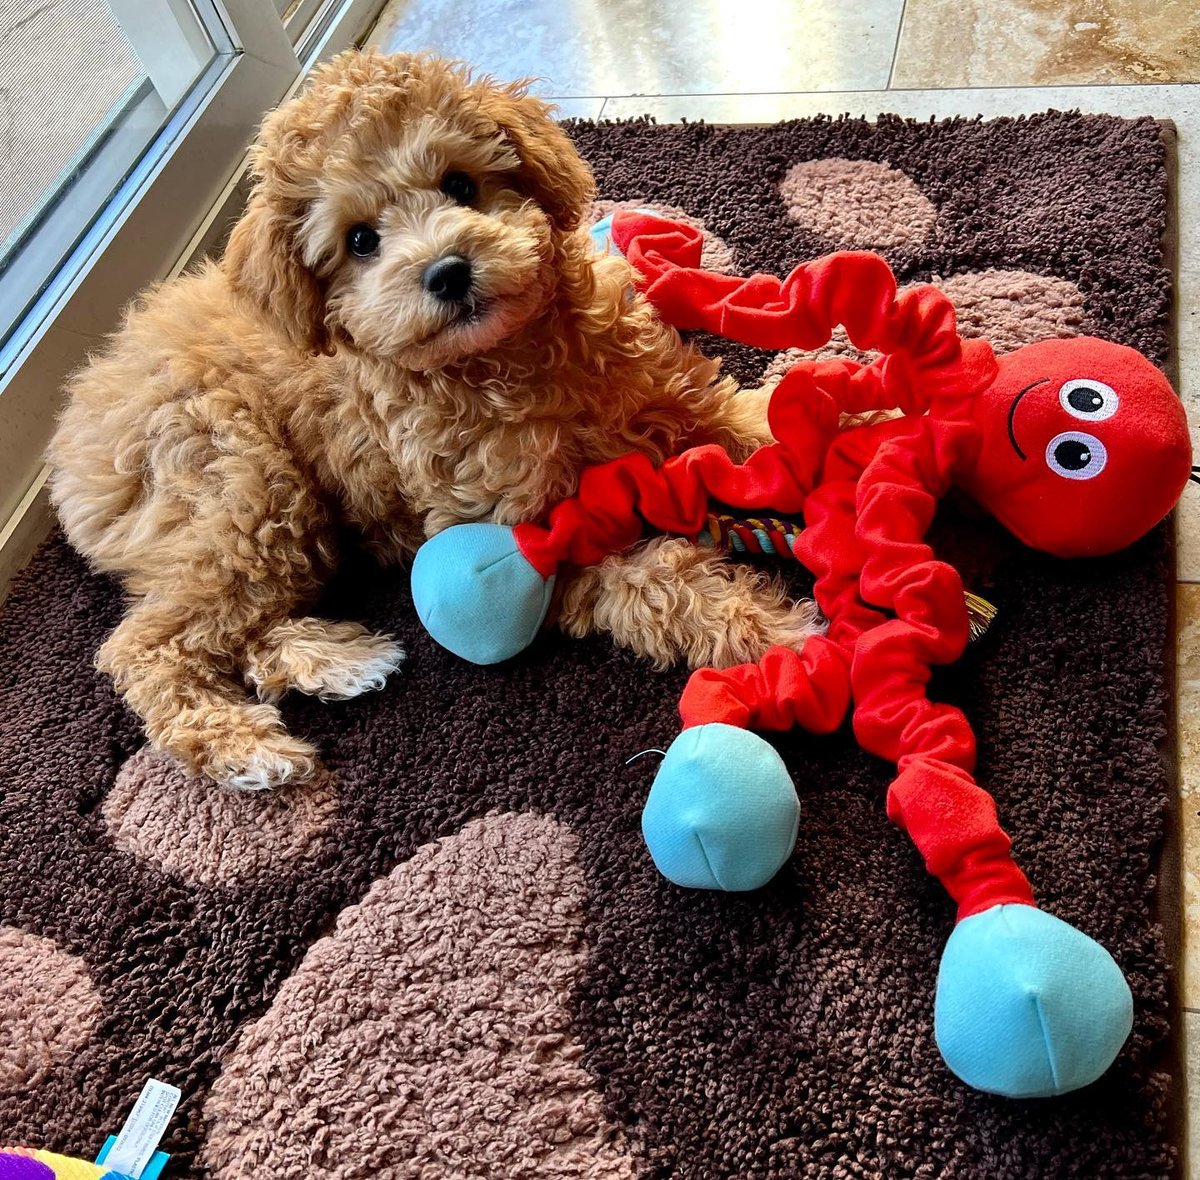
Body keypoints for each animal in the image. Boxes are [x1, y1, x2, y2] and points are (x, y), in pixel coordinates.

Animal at [44, 50, 816, 787]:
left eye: (461, 185)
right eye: (360, 240)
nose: (448, 272)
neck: (511, 362)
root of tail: (74, 420)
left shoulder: (673, 398)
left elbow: (751, 422)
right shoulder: (532, 541)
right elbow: (660, 586)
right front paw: (782, 636)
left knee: (234, 626)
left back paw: (332, 662)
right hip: (241, 487)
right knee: (151, 644)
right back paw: (246, 747)